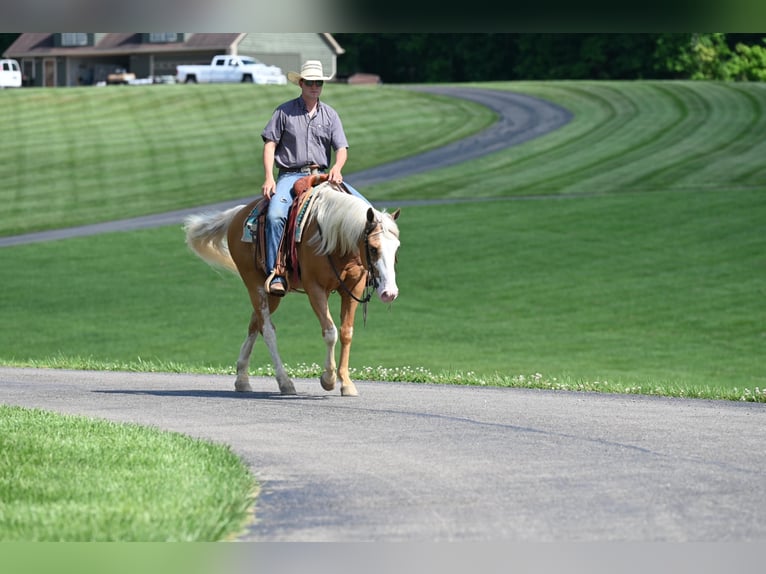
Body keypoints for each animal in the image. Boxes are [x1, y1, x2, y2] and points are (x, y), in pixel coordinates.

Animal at [184, 178, 402, 398]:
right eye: (373, 248)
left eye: (397, 248)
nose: (390, 293)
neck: (334, 236)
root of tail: (239, 213)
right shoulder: (315, 289)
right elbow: (330, 331)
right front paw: (328, 379)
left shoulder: (353, 288)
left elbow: (346, 332)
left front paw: (346, 383)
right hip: (255, 285)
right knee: (268, 330)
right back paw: (285, 382)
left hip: (272, 294)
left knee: (255, 324)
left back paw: (242, 379)